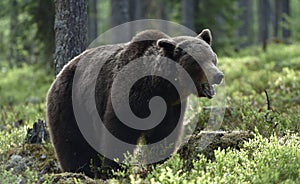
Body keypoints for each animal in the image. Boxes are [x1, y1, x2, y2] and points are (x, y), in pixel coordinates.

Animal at [46, 28, 223, 178]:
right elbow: (119, 133)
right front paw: (115, 170)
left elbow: (164, 136)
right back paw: (79, 171)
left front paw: (157, 164)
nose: (218, 75)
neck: (158, 89)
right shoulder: (129, 95)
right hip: (71, 102)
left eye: (212, 58)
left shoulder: (171, 108)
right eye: (197, 61)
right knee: (72, 141)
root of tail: (63, 70)